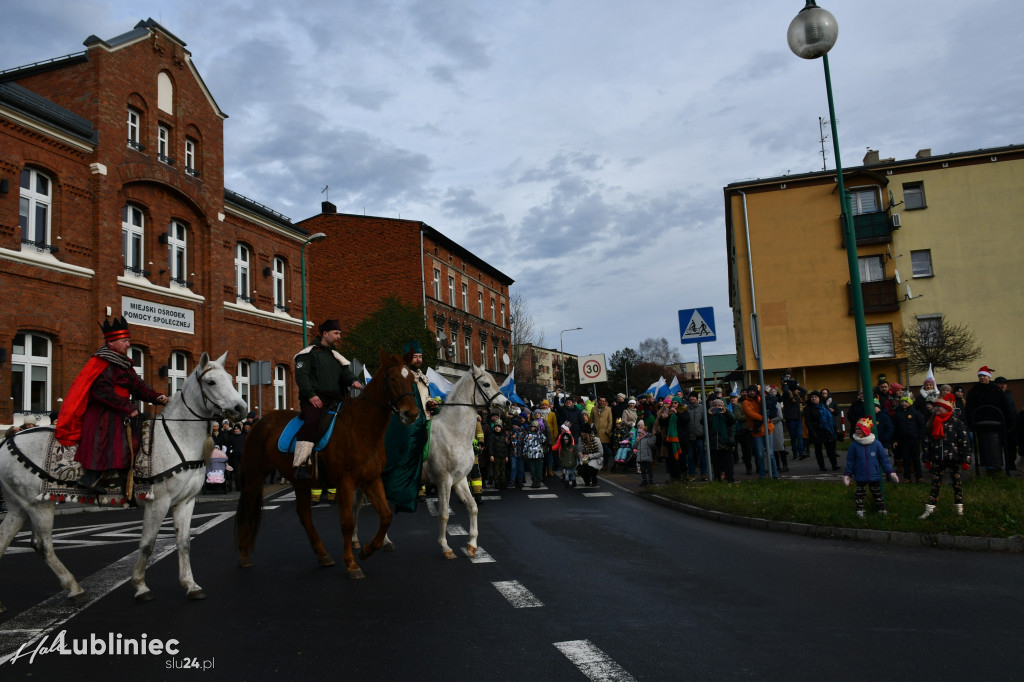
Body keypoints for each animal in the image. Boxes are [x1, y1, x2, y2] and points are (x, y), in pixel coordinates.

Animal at [0, 350, 245, 606]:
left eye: (231, 378)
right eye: (211, 382)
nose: (241, 409)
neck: (178, 437)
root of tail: (8, 441)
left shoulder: (185, 502)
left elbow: (184, 543)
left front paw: (191, 585)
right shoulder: (158, 501)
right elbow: (147, 544)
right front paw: (140, 586)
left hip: (18, 506)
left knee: (4, 539)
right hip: (38, 504)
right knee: (43, 545)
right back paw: (75, 588)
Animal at [234, 348, 417, 577]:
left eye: (412, 379)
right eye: (392, 379)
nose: (411, 414)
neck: (361, 429)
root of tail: (259, 423)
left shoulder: (371, 480)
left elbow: (386, 516)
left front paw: (367, 550)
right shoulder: (345, 483)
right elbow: (347, 522)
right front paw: (351, 563)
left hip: (299, 482)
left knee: (304, 514)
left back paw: (323, 555)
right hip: (254, 477)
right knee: (248, 508)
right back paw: (243, 555)